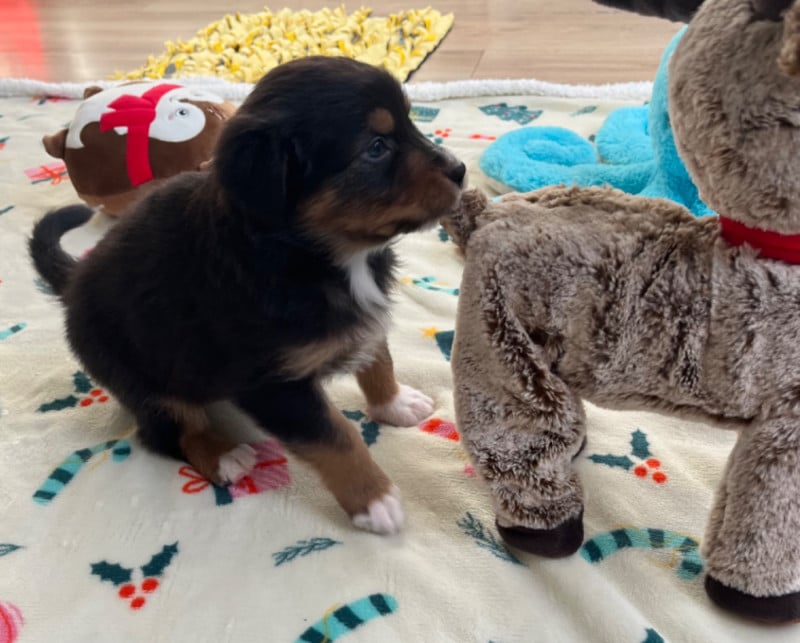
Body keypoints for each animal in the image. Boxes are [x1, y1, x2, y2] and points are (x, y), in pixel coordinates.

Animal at [29, 56, 466, 535]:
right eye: (376, 148)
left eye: (409, 121)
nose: (461, 169)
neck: (317, 255)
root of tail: (74, 282)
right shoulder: (271, 383)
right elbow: (337, 436)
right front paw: (375, 500)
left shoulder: (361, 318)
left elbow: (377, 357)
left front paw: (395, 403)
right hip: (140, 376)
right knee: (166, 430)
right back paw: (223, 454)